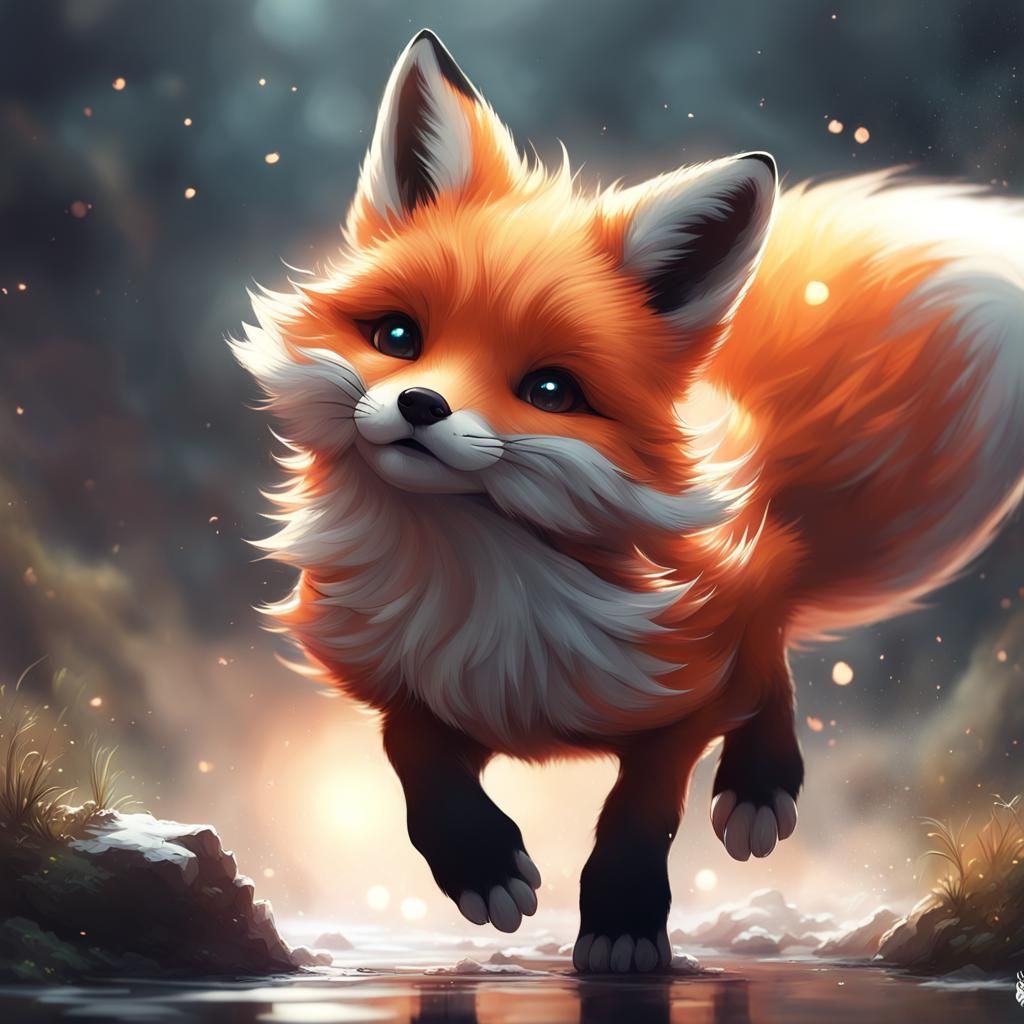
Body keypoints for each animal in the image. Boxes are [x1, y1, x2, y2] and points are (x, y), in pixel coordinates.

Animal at [231, 30, 1024, 973]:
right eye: (398, 336)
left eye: (549, 389)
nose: (421, 406)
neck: (480, 584)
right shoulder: (397, 675)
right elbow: (413, 752)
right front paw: (480, 861)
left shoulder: (680, 684)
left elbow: (642, 806)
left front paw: (623, 916)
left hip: (742, 603)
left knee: (771, 662)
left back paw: (760, 784)